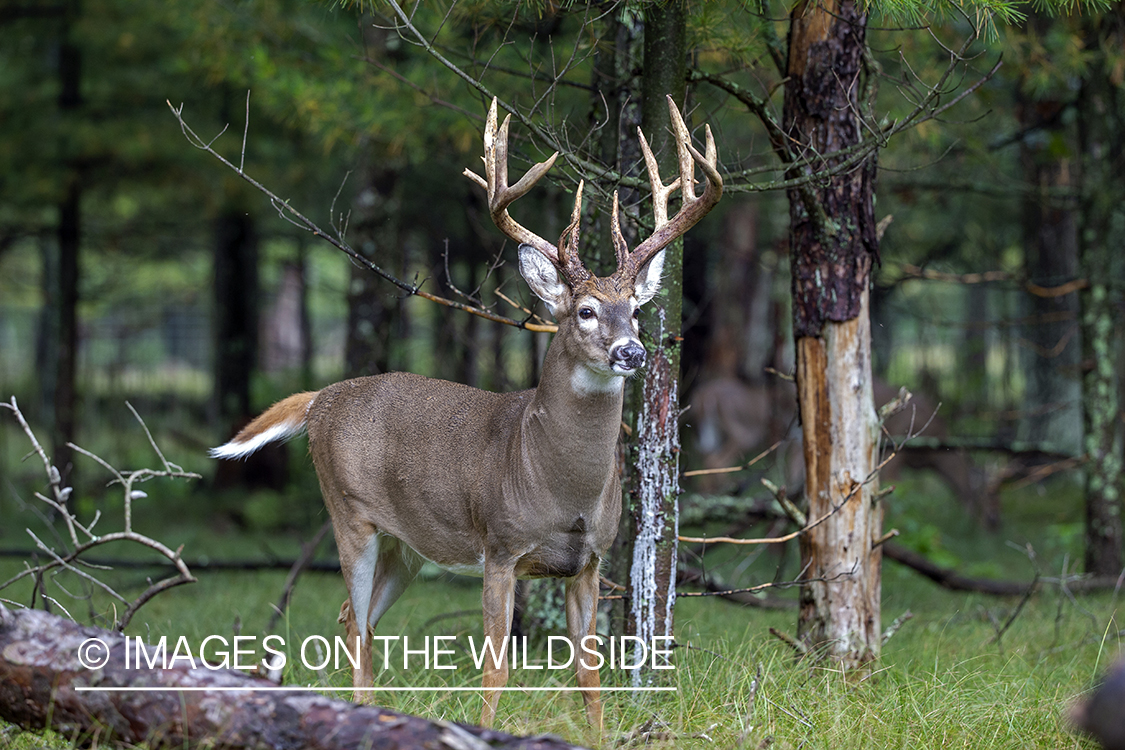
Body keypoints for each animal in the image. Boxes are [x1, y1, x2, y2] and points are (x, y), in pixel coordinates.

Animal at [210, 96, 720, 728]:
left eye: (635, 310)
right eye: (584, 311)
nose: (632, 352)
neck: (558, 482)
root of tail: (321, 398)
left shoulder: (591, 562)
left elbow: (590, 677)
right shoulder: (499, 548)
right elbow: (495, 669)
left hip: (408, 545)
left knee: (354, 618)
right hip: (349, 513)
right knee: (355, 622)